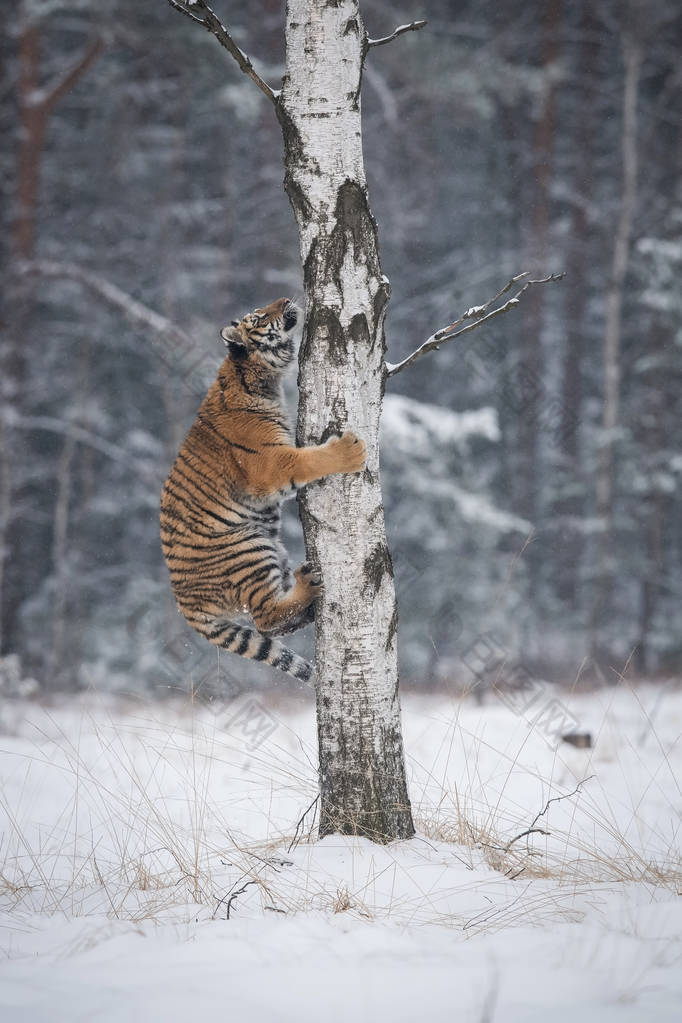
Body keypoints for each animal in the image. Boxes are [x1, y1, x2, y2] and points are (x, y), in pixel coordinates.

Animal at [158, 298, 368, 683]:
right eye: (258, 318)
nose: (285, 300)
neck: (258, 378)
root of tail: (184, 603)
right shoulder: (272, 463)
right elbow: (311, 460)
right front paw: (349, 451)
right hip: (247, 550)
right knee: (265, 615)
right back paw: (308, 583)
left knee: (269, 624)